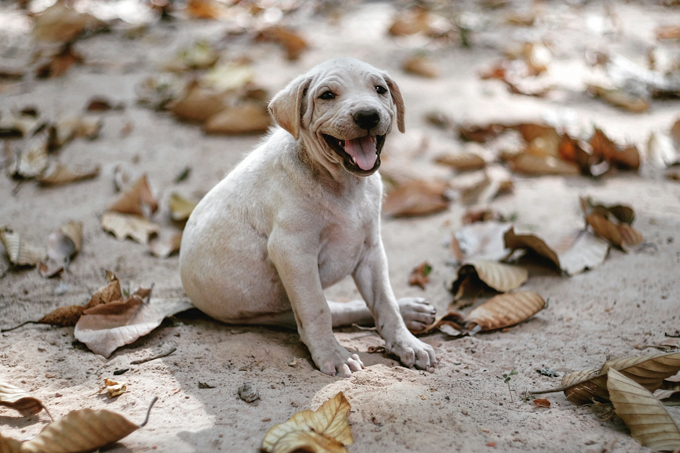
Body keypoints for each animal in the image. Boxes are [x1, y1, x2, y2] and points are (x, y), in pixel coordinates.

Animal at [181, 58, 436, 374]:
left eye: (380, 90)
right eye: (326, 95)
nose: (368, 116)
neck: (344, 184)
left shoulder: (371, 249)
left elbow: (384, 301)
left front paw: (406, 342)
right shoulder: (293, 252)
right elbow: (317, 308)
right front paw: (333, 355)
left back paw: (411, 310)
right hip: (271, 311)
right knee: (327, 312)